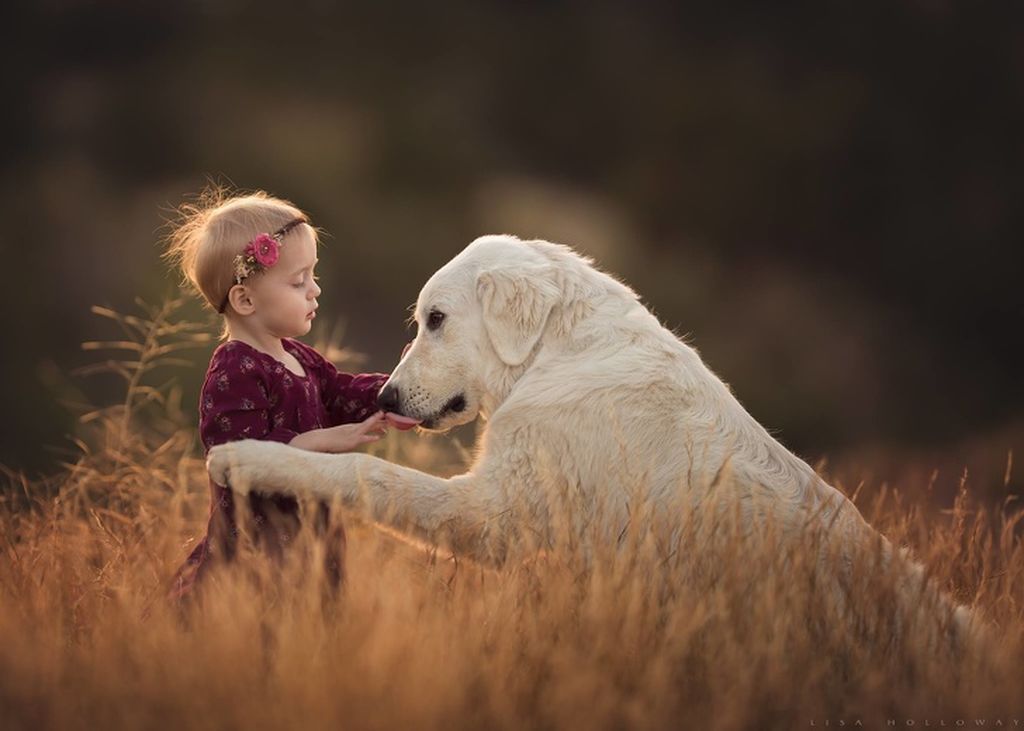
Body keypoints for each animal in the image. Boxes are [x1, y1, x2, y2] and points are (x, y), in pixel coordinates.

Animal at [205, 230, 974, 638]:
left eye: (436, 319)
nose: (389, 396)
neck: (557, 351)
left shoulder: (496, 514)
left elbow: (366, 474)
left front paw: (246, 456)